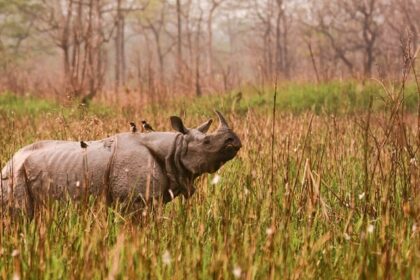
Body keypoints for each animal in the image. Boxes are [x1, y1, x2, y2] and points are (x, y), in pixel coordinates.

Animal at [0, 110, 241, 215]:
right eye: (208, 142)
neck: (175, 148)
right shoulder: (136, 199)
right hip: (14, 176)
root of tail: (9, 161)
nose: (235, 141)